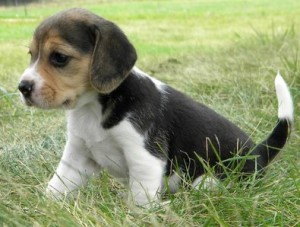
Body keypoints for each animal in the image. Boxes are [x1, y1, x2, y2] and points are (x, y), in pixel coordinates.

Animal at [18, 8, 292, 206]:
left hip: (208, 180)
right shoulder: (77, 156)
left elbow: (140, 200)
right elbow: (57, 185)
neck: (93, 108)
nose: (22, 87)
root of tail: (259, 152)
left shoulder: (145, 158)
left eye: (59, 57)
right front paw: (42, 206)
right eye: (31, 54)